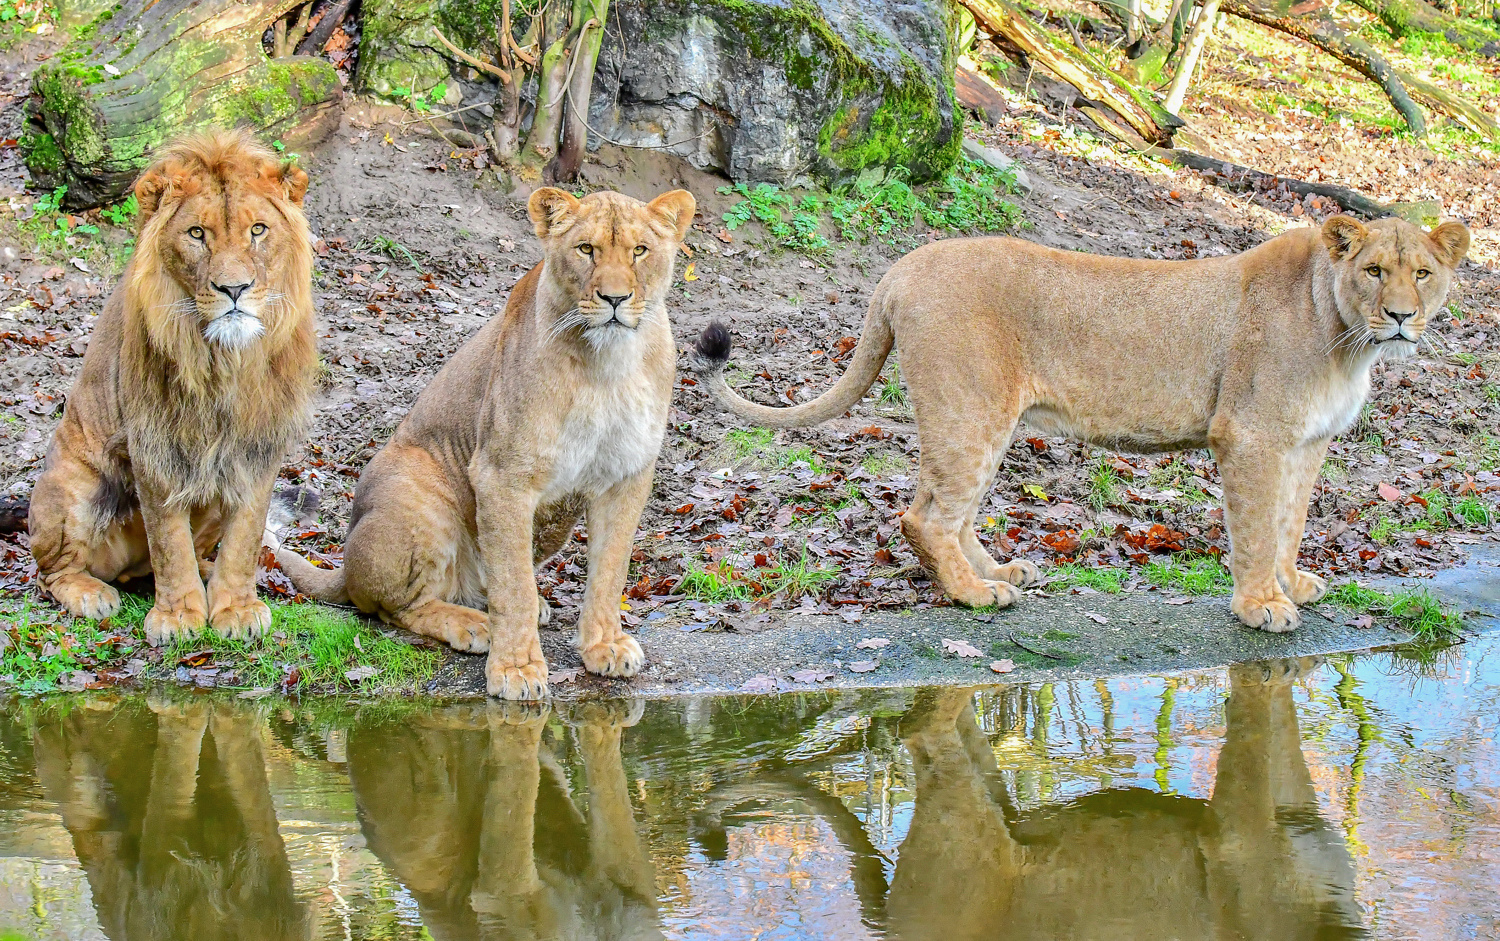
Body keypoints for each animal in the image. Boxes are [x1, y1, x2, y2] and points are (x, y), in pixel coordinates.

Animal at [30, 132, 316, 645]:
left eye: (258, 230)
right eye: (197, 234)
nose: (234, 289)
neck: (225, 359)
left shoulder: (259, 444)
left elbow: (245, 535)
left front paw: (235, 607)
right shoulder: (154, 439)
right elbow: (167, 538)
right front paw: (179, 616)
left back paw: (207, 574)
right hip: (75, 486)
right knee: (54, 571)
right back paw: (91, 594)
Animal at [276, 187, 696, 699]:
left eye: (639, 250)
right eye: (586, 250)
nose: (615, 298)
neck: (607, 365)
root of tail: (345, 567)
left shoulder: (626, 474)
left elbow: (609, 571)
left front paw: (605, 646)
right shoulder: (502, 475)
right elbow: (513, 585)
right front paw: (516, 669)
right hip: (417, 487)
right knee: (395, 607)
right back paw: (475, 625)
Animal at [696, 216, 1470, 633]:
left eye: (1423, 273)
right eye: (1374, 271)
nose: (1402, 316)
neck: (1348, 341)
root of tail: (898, 269)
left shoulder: (1307, 443)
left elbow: (1291, 520)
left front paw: (1291, 583)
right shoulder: (1249, 436)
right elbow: (1254, 526)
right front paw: (1260, 606)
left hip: (976, 417)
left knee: (944, 507)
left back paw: (995, 570)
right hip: (972, 408)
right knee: (924, 515)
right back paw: (975, 595)